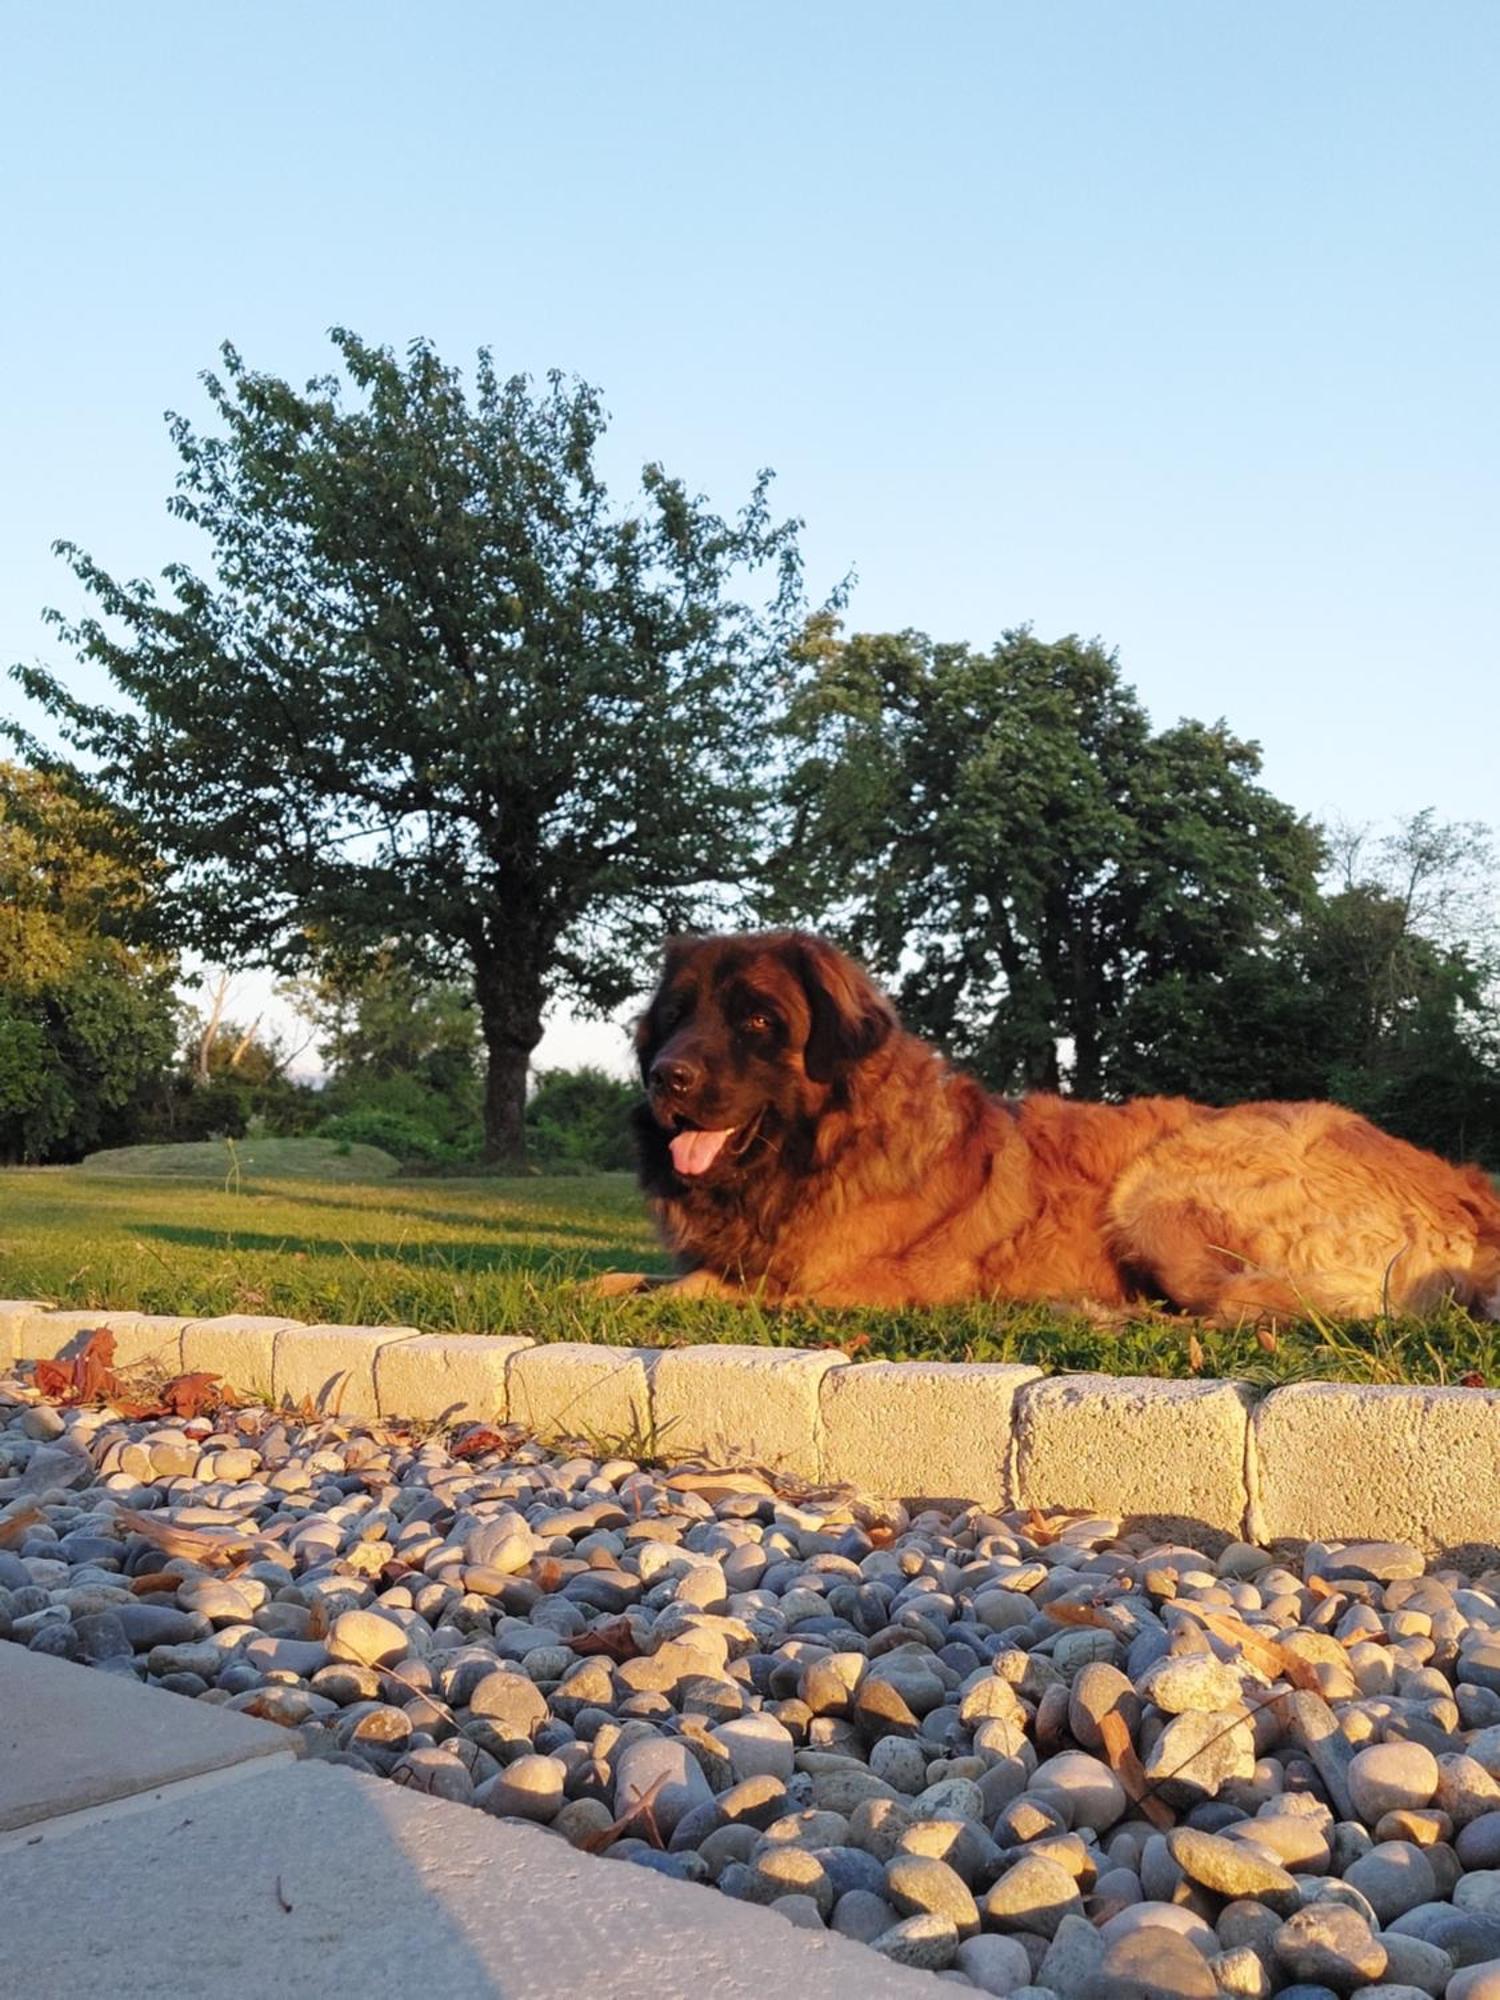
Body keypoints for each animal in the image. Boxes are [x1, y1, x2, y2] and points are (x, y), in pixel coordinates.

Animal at [620, 928, 1500, 1320]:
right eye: (676, 1016)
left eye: (758, 1021)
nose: (668, 1077)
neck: (824, 1148)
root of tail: (1467, 1191)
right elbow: (633, 1280)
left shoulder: (863, 1287)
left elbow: (724, 1289)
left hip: (1164, 1181)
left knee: (1262, 1303)